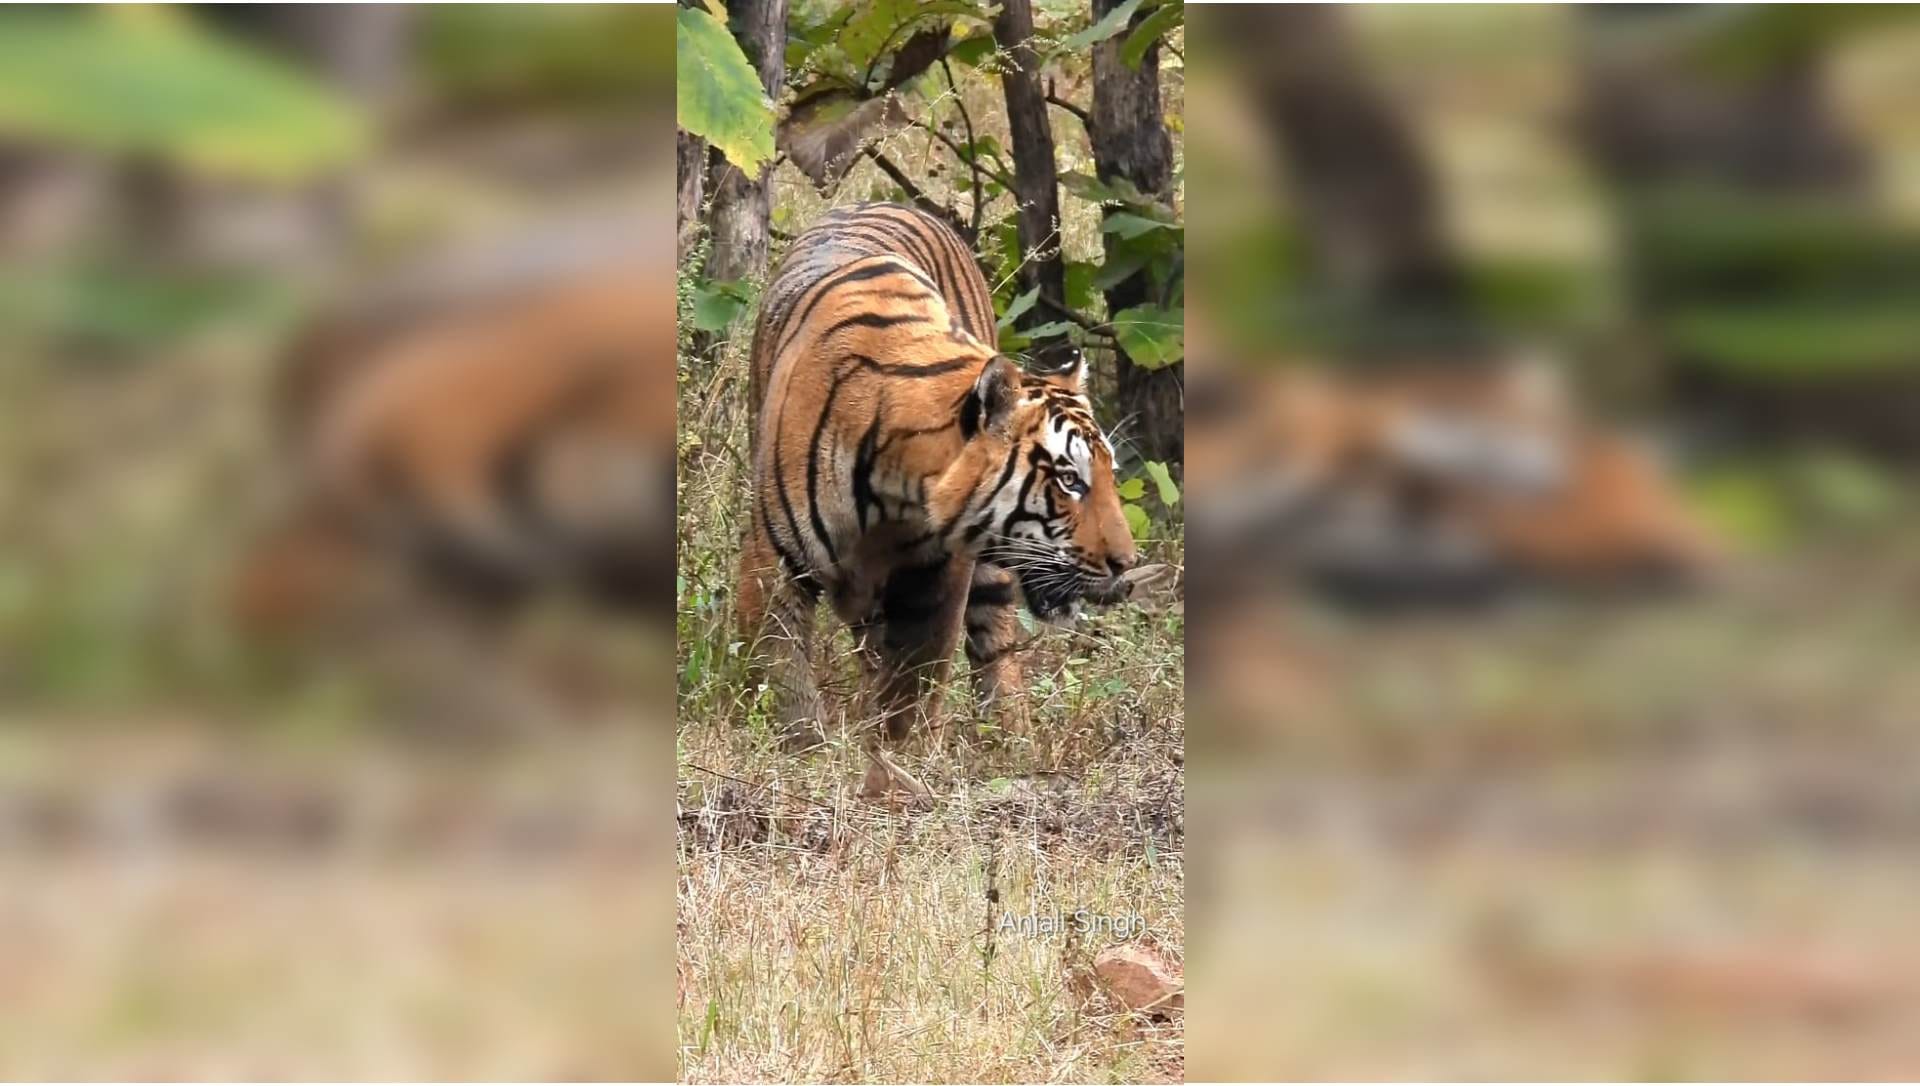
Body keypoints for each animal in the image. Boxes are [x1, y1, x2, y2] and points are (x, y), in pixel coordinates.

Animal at [736, 203, 1138, 746]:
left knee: (993, 639)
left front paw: (898, 750)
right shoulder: (773, 560)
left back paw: (1009, 739)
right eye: (1069, 480)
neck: (896, 490)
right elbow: (784, 675)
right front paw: (806, 745)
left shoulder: (942, 570)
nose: (1127, 564)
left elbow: (919, 675)